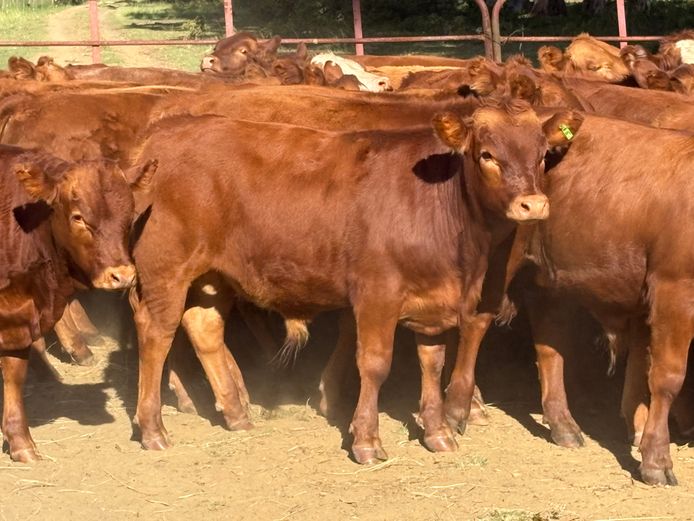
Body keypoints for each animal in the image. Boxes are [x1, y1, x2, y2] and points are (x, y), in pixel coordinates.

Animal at [0, 144, 153, 462]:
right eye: (79, 217)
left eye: (130, 213)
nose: (122, 275)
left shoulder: (20, 316)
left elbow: (14, 373)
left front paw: (21, 442)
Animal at [127, 99, 577, 463]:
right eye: (487, 154)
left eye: (542, 155)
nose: (533, 204)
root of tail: (163, 132)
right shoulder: (377, 295)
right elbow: (375, 365)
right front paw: (366, 439)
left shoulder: (433, 303)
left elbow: (431, 364)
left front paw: (436, 432)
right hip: (164, 271)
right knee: (156, 335)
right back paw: (152, 428)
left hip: (211, 277)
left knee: (203, 327)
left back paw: (237, 414)